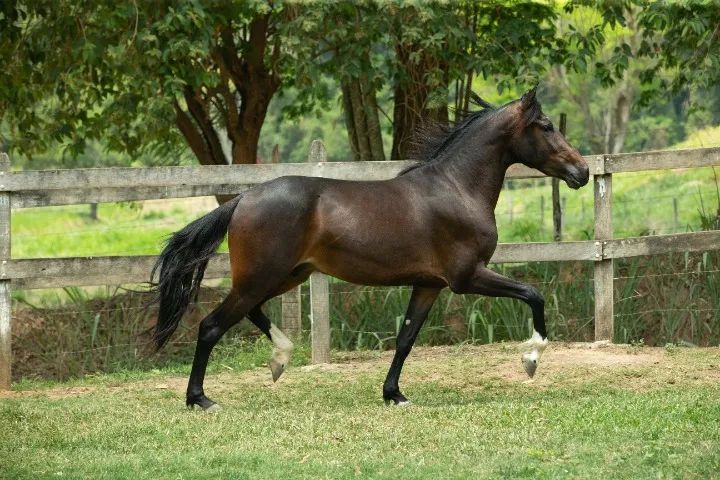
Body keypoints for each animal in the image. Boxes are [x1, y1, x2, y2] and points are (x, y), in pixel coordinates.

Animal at [150, 87, 589, 411]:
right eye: (547, 126)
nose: (582, 172)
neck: (456, 188)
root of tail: (242, 198)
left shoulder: (429, 284)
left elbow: (406, 338)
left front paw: (394, 395)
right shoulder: (466, 277)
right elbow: (533, 294)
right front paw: (531, 360)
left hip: (286, 275)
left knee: (250, 312)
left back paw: (280, 360)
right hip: (262, 276)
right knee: (211, 326)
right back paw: (202, 399)